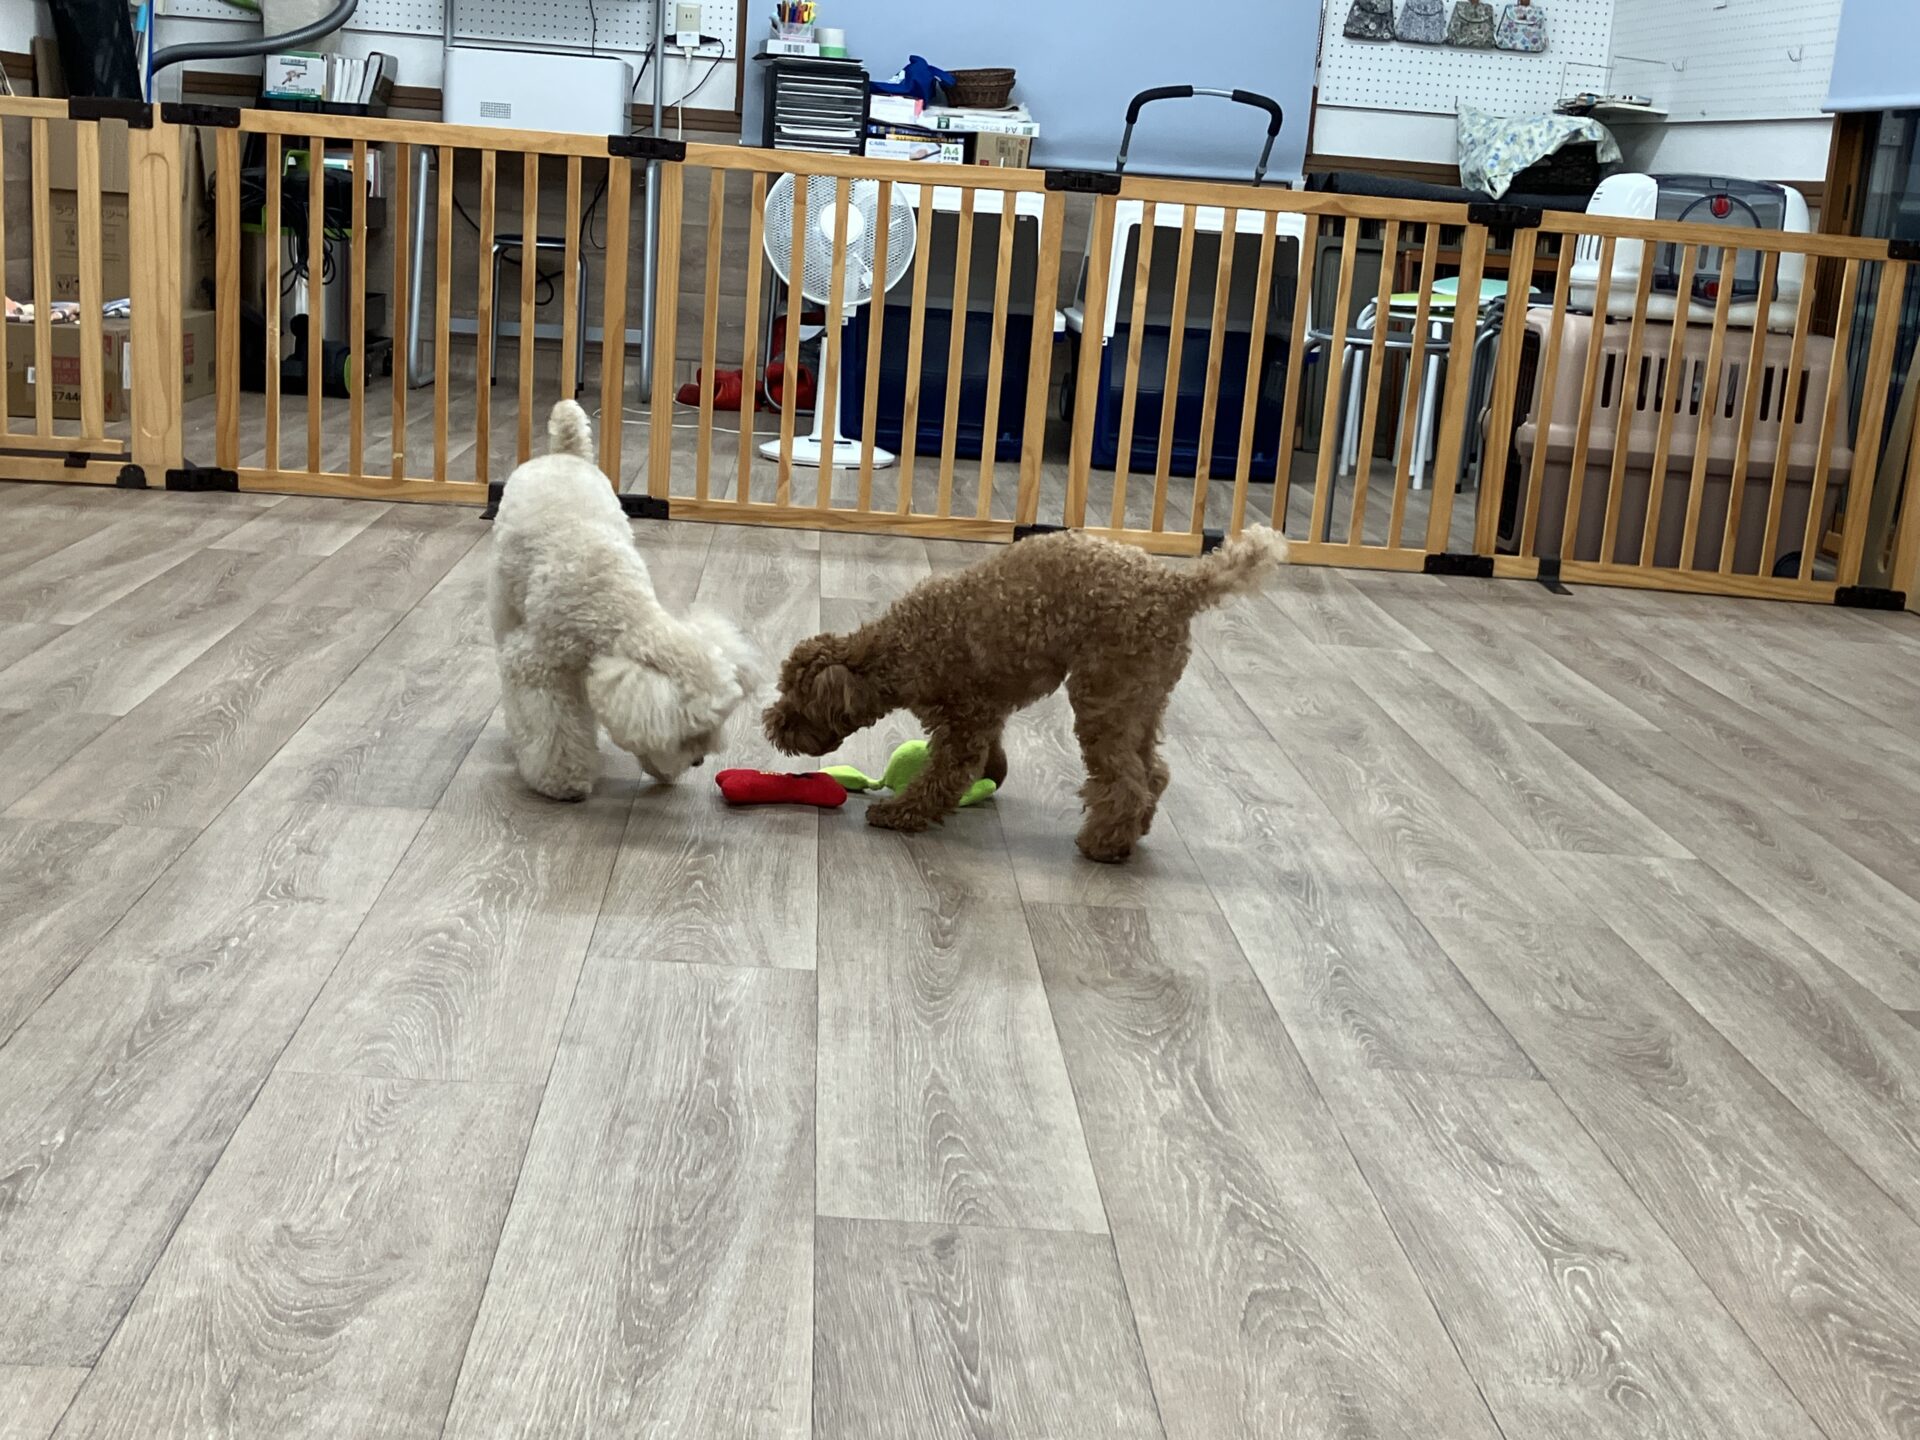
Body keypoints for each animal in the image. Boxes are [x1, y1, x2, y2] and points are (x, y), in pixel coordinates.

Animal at [489, 400, 760, 800]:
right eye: (685, 735)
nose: (698, 763)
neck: (613, 608)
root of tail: (566, 453)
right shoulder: (538, 667)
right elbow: (555, 731)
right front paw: (564, 780)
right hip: (504, 600)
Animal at [763, 526, 1287, 861]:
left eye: (796, 702)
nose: (772, 727)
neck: (897, 647)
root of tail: (1175, 585)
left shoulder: (964, 719)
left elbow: (942, 777)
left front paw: (898, 813)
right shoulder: (986, 715)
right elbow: (990, 758)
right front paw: (992, 777)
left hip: (1104, 698)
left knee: (1126, 782)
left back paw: (1104, 844)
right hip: (1142, 697)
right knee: (1153, 772)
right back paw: (1132, 833)